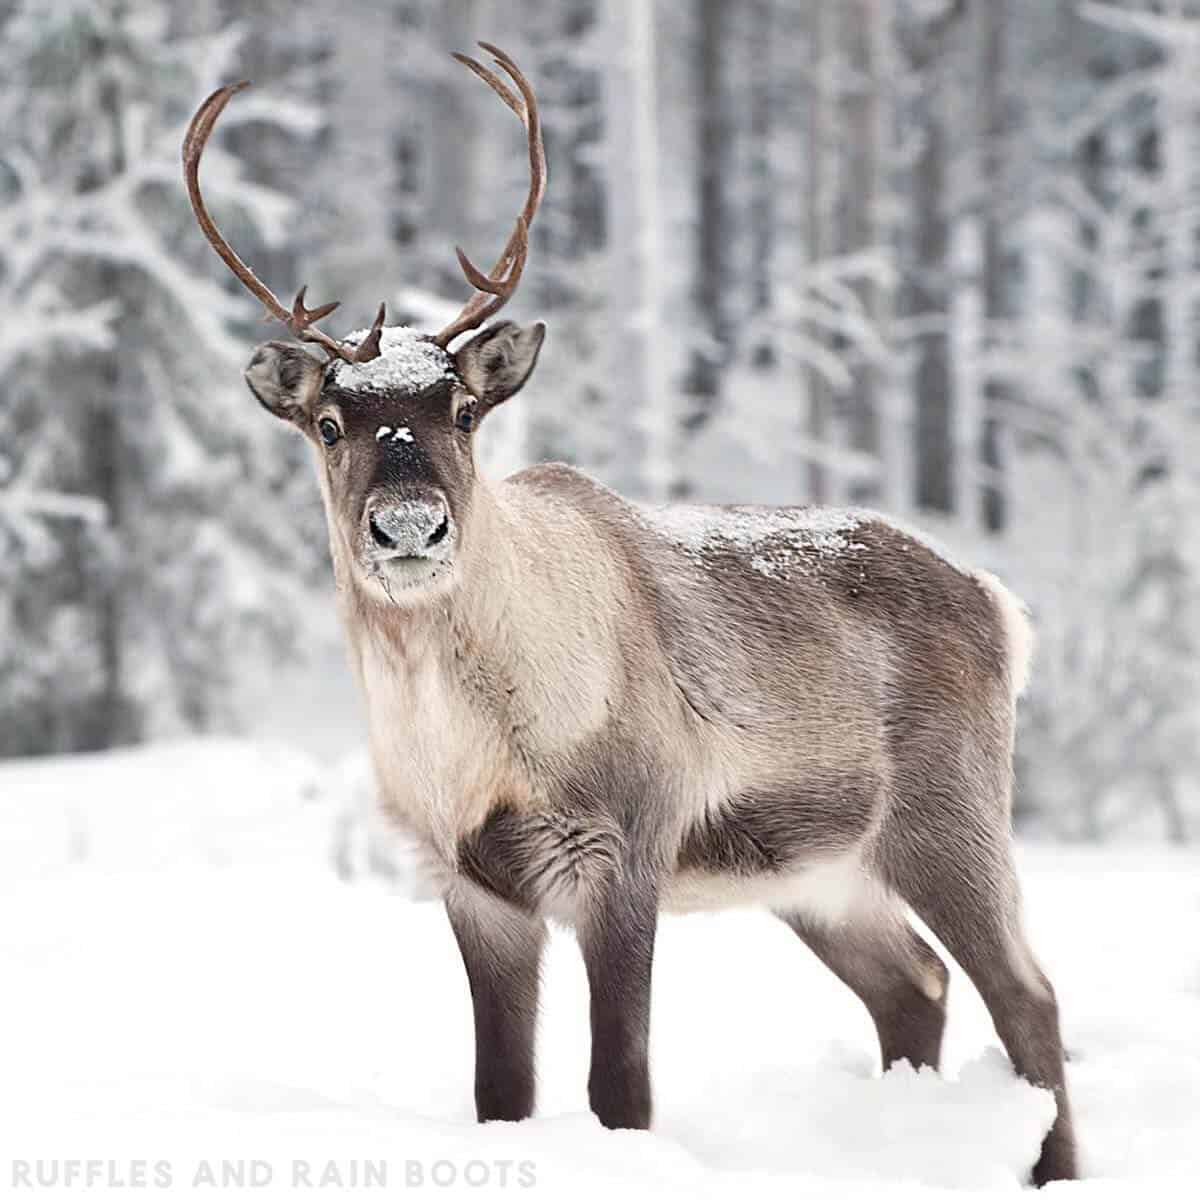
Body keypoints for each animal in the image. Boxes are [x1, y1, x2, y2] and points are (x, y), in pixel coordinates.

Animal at [183, 45, 1076, 1186]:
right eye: (331, 423)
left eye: (463, 412)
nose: (410, 527)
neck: (467, 741)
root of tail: (998, 604)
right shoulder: (473, 885)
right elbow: (501, 1095)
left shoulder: (622, 850)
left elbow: (622, 1089)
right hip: (822, 874)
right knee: (915, 985)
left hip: (948, 815)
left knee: (1028, 995)